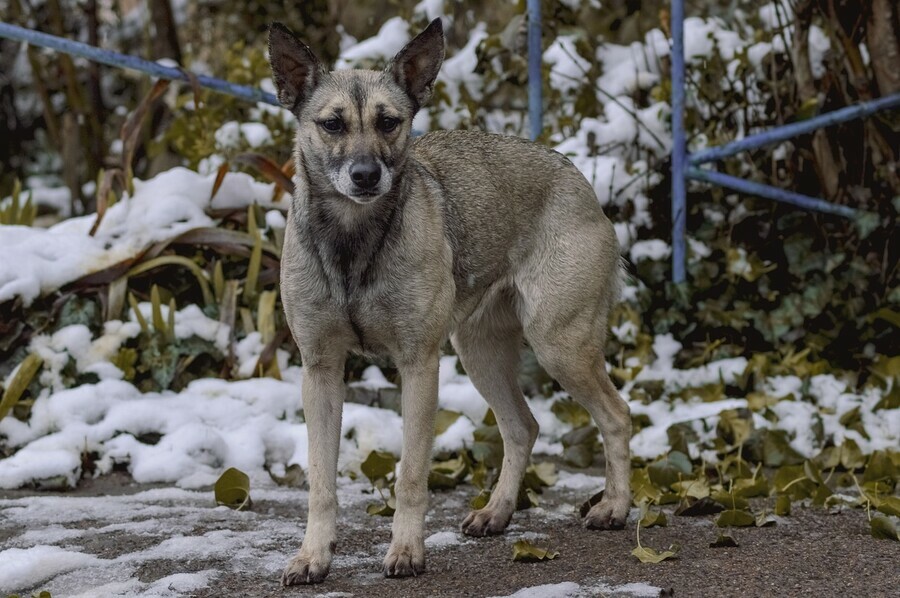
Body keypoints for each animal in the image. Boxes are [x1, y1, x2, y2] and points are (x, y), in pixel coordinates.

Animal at [268, 17, 632, 584]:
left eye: (389, 122)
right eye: (331, 124)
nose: (366, 175)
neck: (354, 240)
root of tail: (576, 176)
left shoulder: (418, 365)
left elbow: (411, 475)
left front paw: (405, 551)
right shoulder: (320, 371)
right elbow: (321, 483)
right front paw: (313, 556)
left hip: (561, 345)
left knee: (616, 416)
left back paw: (614, 507)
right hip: (479, 351)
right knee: (522, 427)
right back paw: (497, 513)